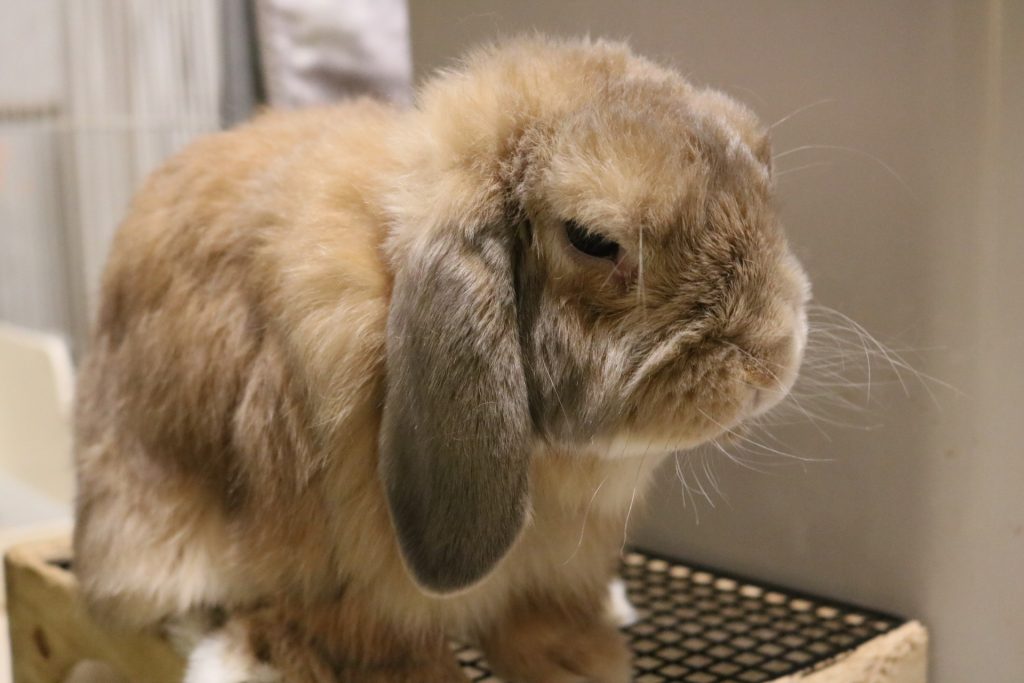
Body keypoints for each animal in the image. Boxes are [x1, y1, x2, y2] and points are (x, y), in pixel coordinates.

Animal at [72, 35, 810, 683]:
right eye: (594, 239)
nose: (771, 356)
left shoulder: (554, 568)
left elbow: (540, 621)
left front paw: (582, 663)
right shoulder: (342, 572)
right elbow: (363, 639)